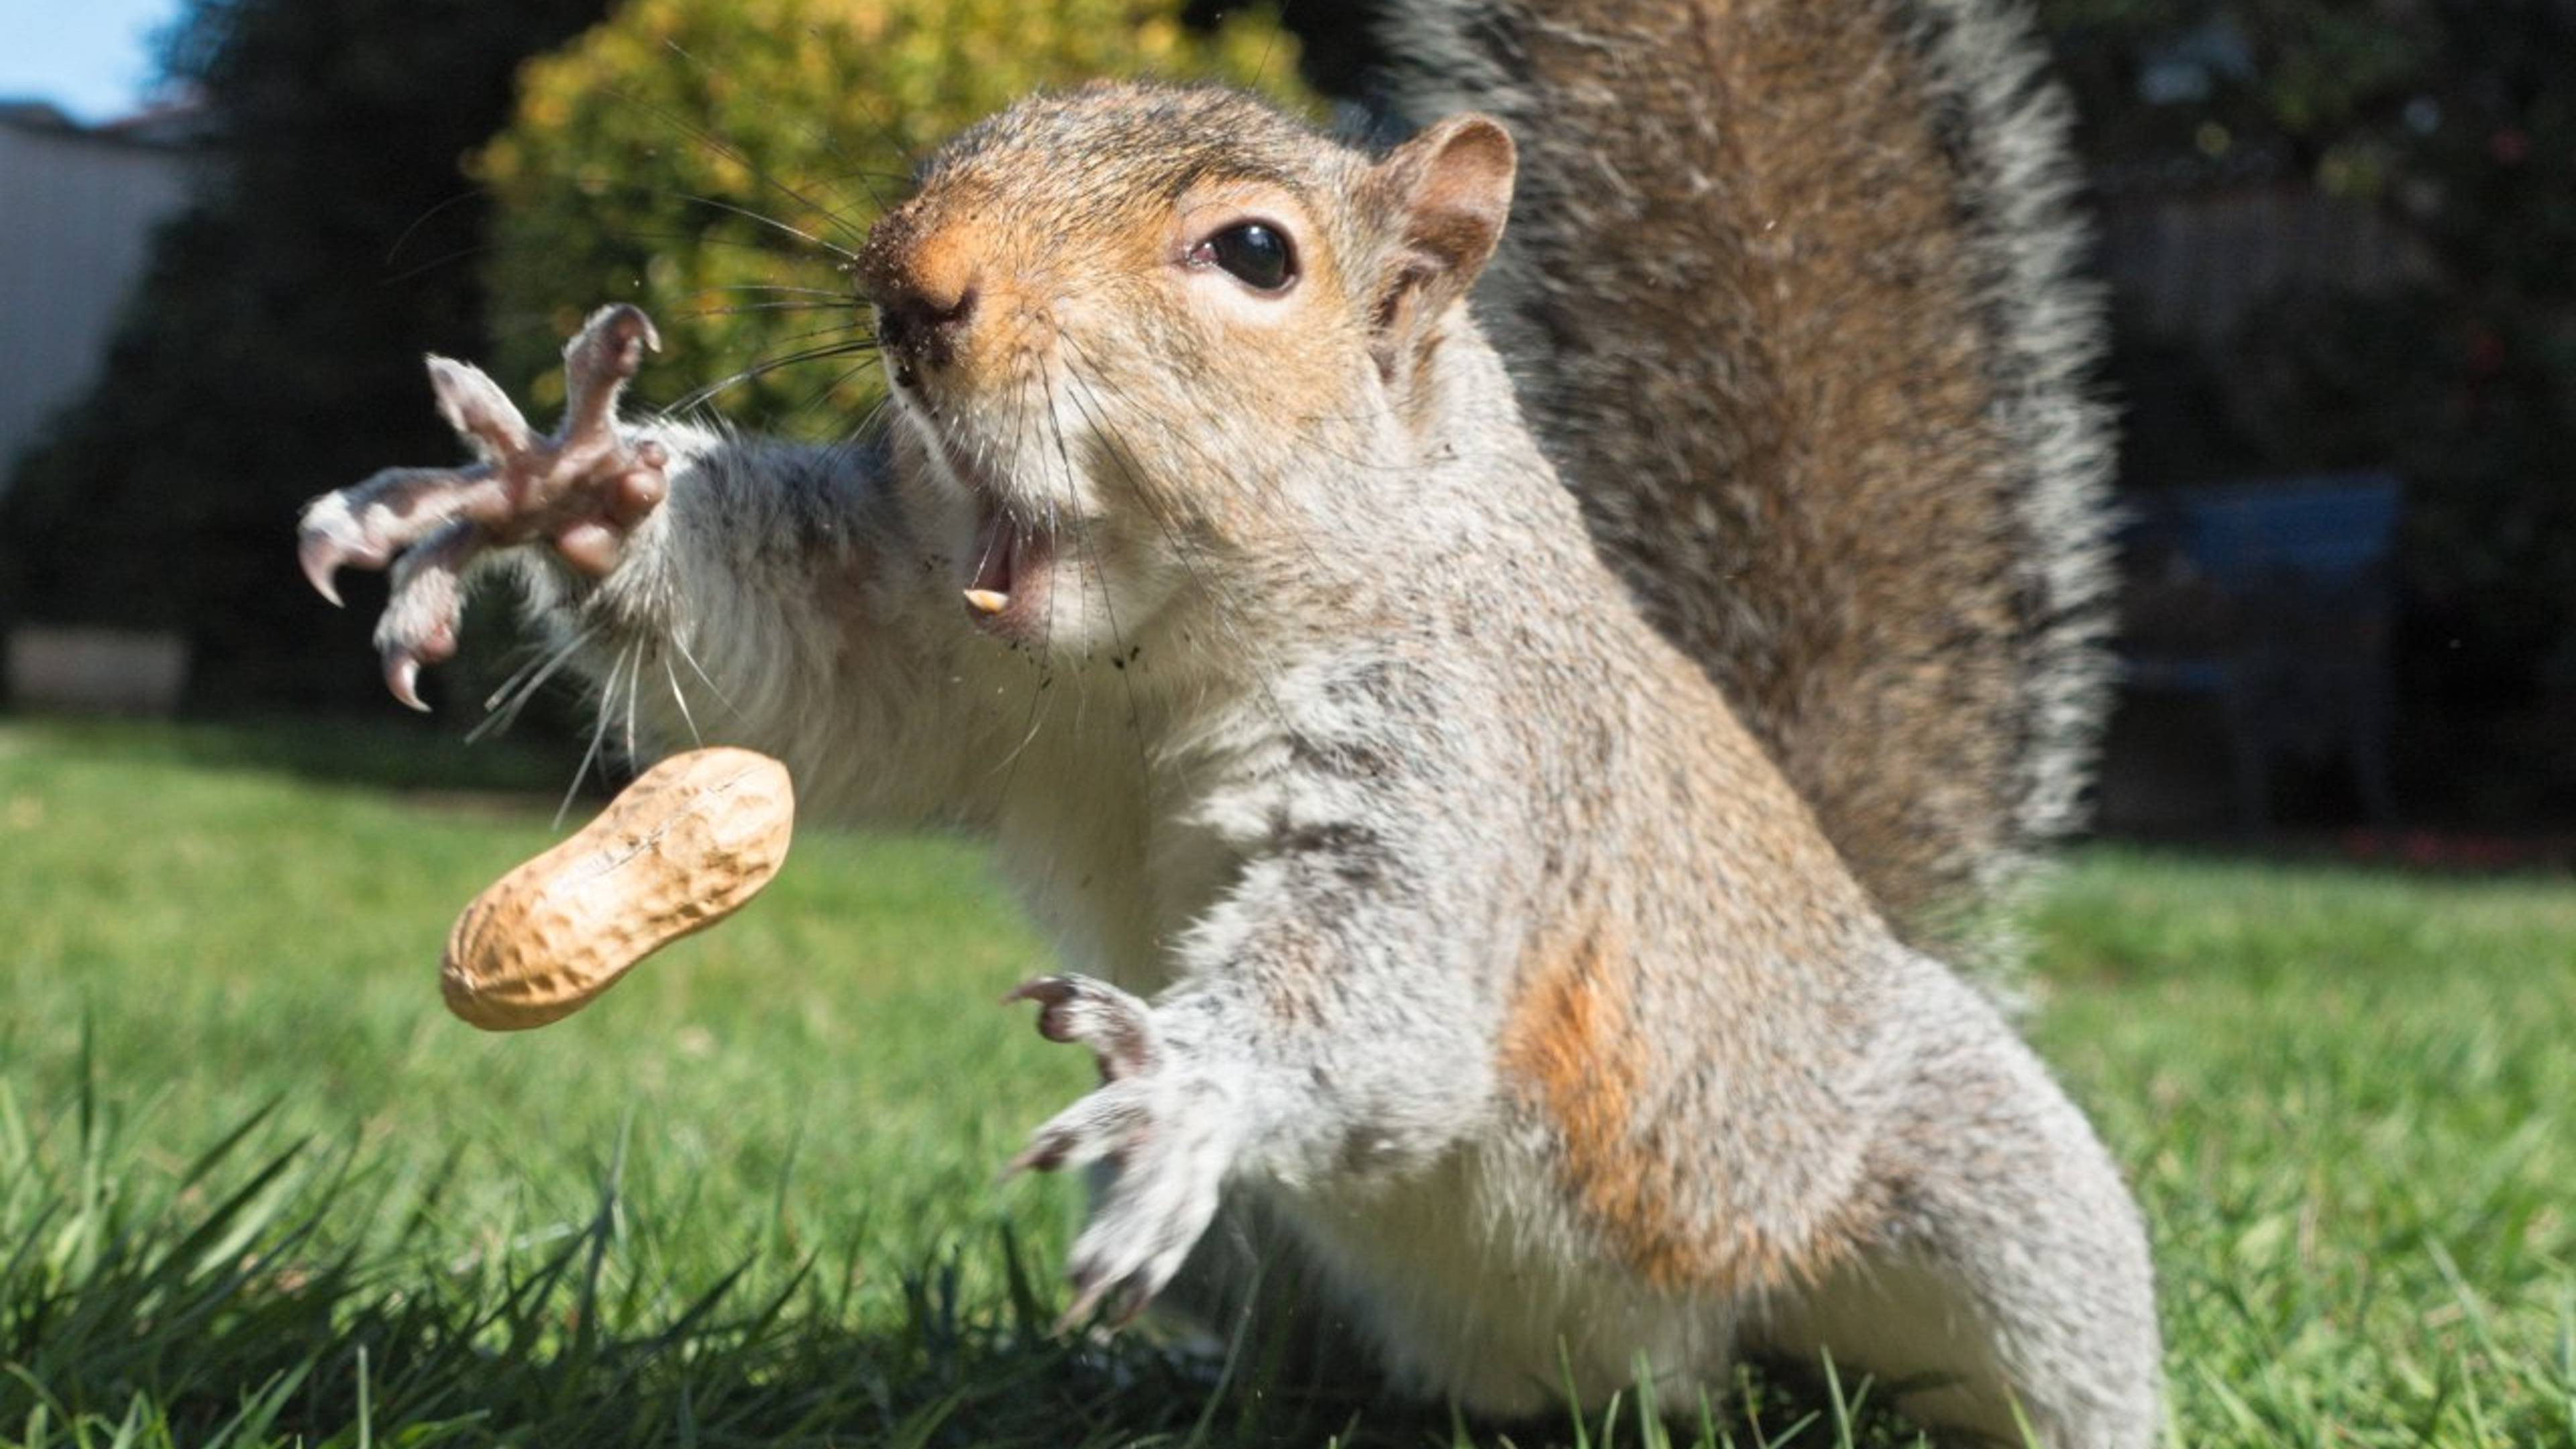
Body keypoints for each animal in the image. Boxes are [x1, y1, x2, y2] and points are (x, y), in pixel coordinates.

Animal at [296, 5, 2153, 1433]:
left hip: (1966, 1203)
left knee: (2052, 1344)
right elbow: (789, 666)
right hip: (1271, 1256)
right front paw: (559, 489)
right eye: (964, 141)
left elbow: (1391, 977)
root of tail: (1623, 1386)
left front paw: (1192, 1077)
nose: (910, 288)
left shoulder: (1473, 754)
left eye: (1254, 254)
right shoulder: (912, 636)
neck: (1152, 651)